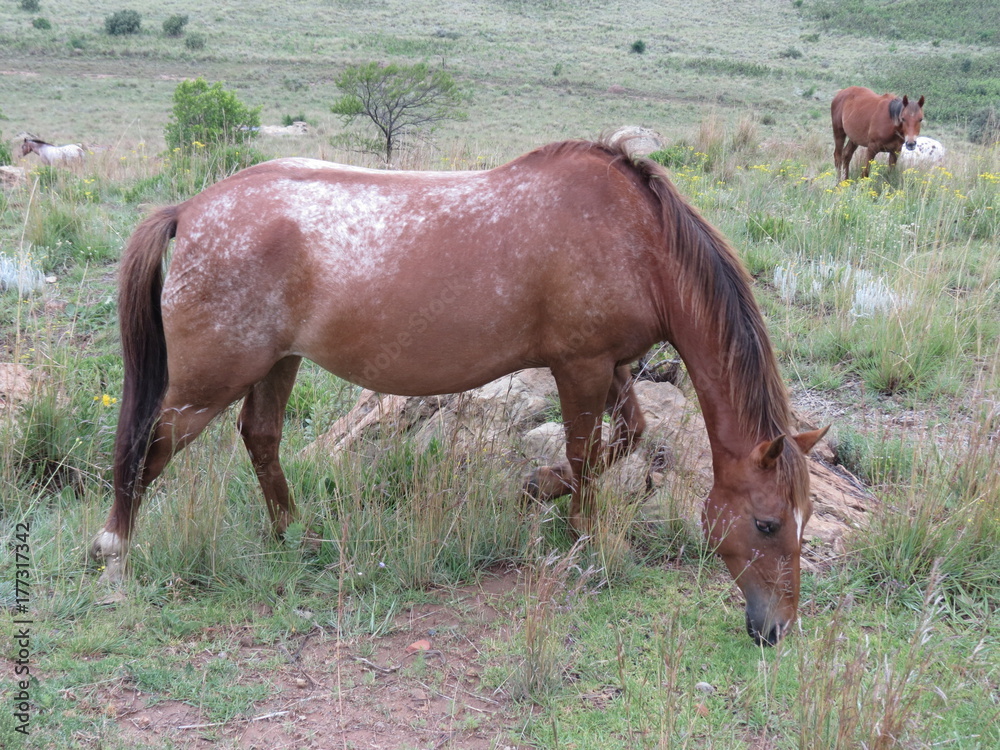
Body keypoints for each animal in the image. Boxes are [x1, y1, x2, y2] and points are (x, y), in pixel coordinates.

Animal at [93, 139, 828, 646]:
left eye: (803, 520)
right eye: (766, 523)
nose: (776, 629)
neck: (635, 238)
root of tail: (189, 210)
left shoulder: (617, 367)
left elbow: (626, 440)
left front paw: (536, 489)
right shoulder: (582, 367)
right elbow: (587, 453)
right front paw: (581, 535)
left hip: (278, 363)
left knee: (260, 438)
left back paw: (294, 534)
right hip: (209, 379)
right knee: (148, 445)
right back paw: (114, 553)